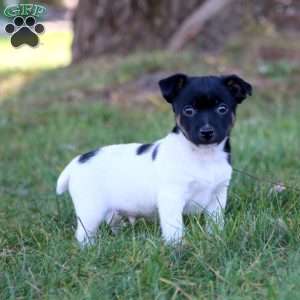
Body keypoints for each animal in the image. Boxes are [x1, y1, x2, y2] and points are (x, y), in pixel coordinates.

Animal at [55, 73, 251, 246]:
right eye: (188, 111)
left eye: (222, 109)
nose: (207, 132)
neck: (203, 155)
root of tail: (78, 160)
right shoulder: (172, 198)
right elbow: (174, 229)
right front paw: (177, 247)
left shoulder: (217, 197)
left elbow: (215, 223)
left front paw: (215, 238)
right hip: (90, 211)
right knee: (84, 234)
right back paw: (89, 249)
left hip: (111, 211)